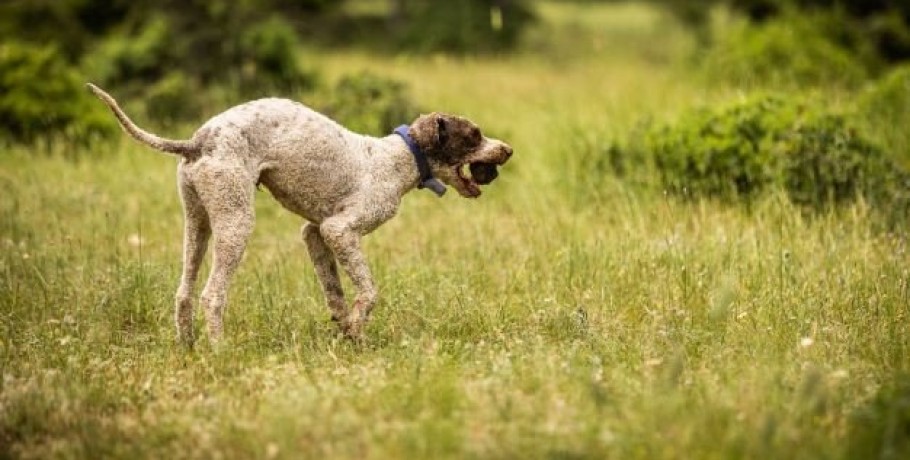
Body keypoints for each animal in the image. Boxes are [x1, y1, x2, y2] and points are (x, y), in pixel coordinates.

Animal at [87, 82, 512, 344]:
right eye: (473, 135)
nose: (508, 150)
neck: (398, 158)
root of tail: (197, 141)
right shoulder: (341, 230)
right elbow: (369, 291)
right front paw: (357, 327)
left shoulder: (316, 233)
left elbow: (334, 291)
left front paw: (347, 331)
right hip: (236, 223)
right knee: (212, 295)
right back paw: (220, 350)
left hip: (198, 224)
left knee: (183, 294)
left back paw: (188, 348)